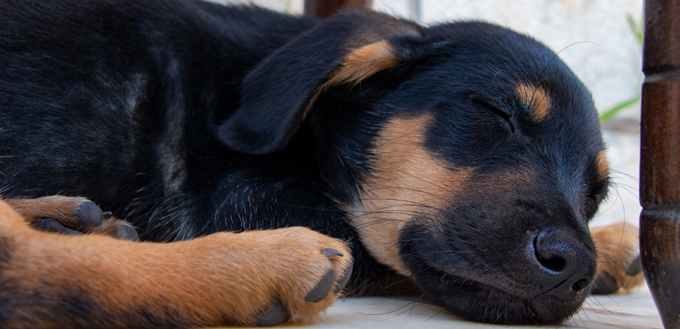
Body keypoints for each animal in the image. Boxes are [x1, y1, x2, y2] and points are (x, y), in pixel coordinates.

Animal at [0, 0, 644, 326]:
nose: (573, 265)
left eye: (595, 194)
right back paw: (264, 266)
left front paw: (616, 247)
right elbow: (384, 259)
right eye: (494, 112)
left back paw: (71, 220)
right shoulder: (244, 200)